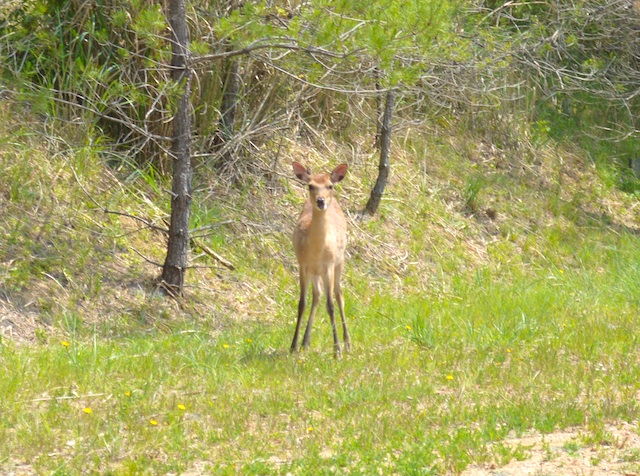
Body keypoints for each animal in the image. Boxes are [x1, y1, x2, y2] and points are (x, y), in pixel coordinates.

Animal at [290, 162, 350, 356]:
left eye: (330, 186)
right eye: (310, 186)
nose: (321, 201)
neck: (316, 250)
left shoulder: (328, 265)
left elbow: (330, 305)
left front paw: (337, 351)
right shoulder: (303, 264)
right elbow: (302, 303)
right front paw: (293, 346)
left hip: (340, 261)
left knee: (339, 295)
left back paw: (347, 343)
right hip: (315, 273)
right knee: (317, 295)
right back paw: (305, 343)